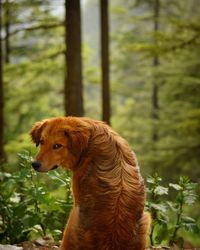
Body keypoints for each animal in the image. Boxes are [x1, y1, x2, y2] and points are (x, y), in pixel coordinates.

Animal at [30, 116, 150, 249]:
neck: (91, 141)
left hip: (73, 217)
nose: (35, 164)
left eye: (57, 146)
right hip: (145, 219)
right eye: (41, 141)